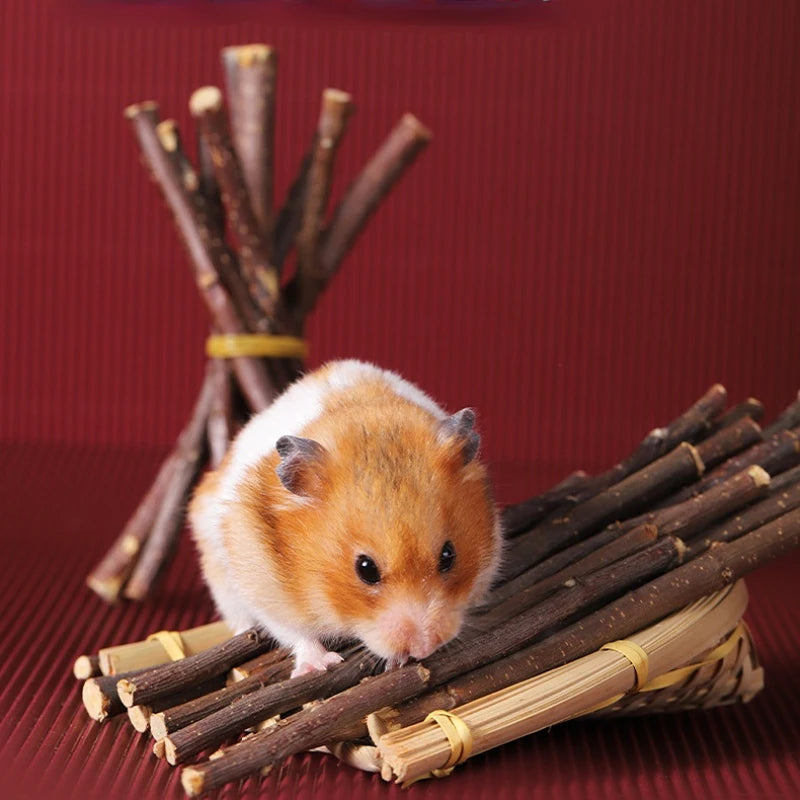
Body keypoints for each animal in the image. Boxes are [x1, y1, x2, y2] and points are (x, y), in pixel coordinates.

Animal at [189, 359, 503, 677]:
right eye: (366, 569)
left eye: (449, 555)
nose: (424, 648)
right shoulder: (264, 588)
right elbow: (296, 634)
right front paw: (320, 666)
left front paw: (399, 661)